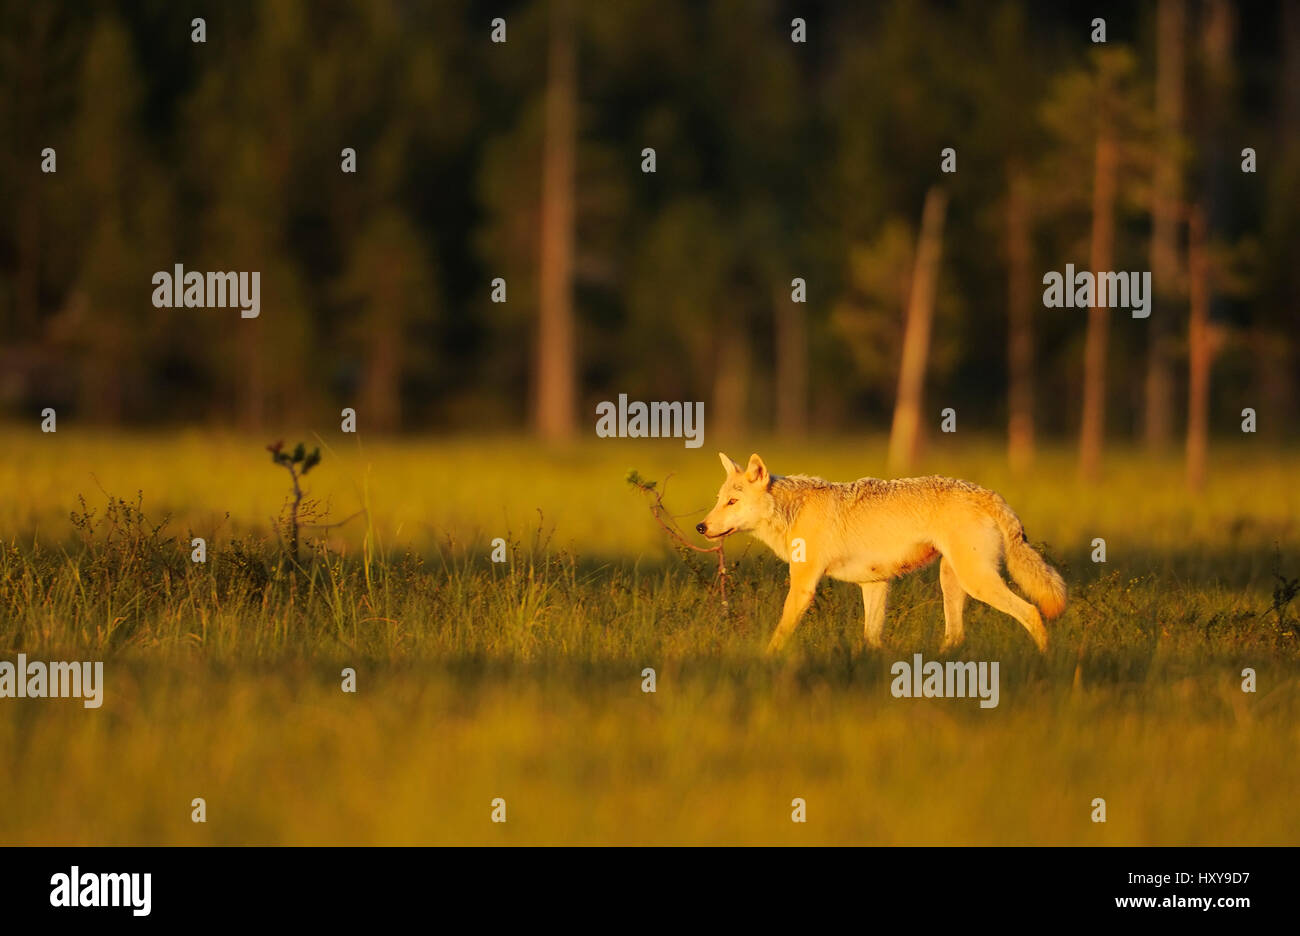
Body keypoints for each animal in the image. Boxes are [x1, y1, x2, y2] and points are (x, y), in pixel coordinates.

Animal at [702, 452, 1066, 655]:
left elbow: (779, 635)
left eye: (732, 502)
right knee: (956, 637)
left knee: (1032, 612)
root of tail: (989, 493)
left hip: (976, 582)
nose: (701, 527)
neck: (792, 511)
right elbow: (871, 639)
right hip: (952, 582)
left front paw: (765, 660)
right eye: (719, 500)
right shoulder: (875, 584)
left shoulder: (804, 586)